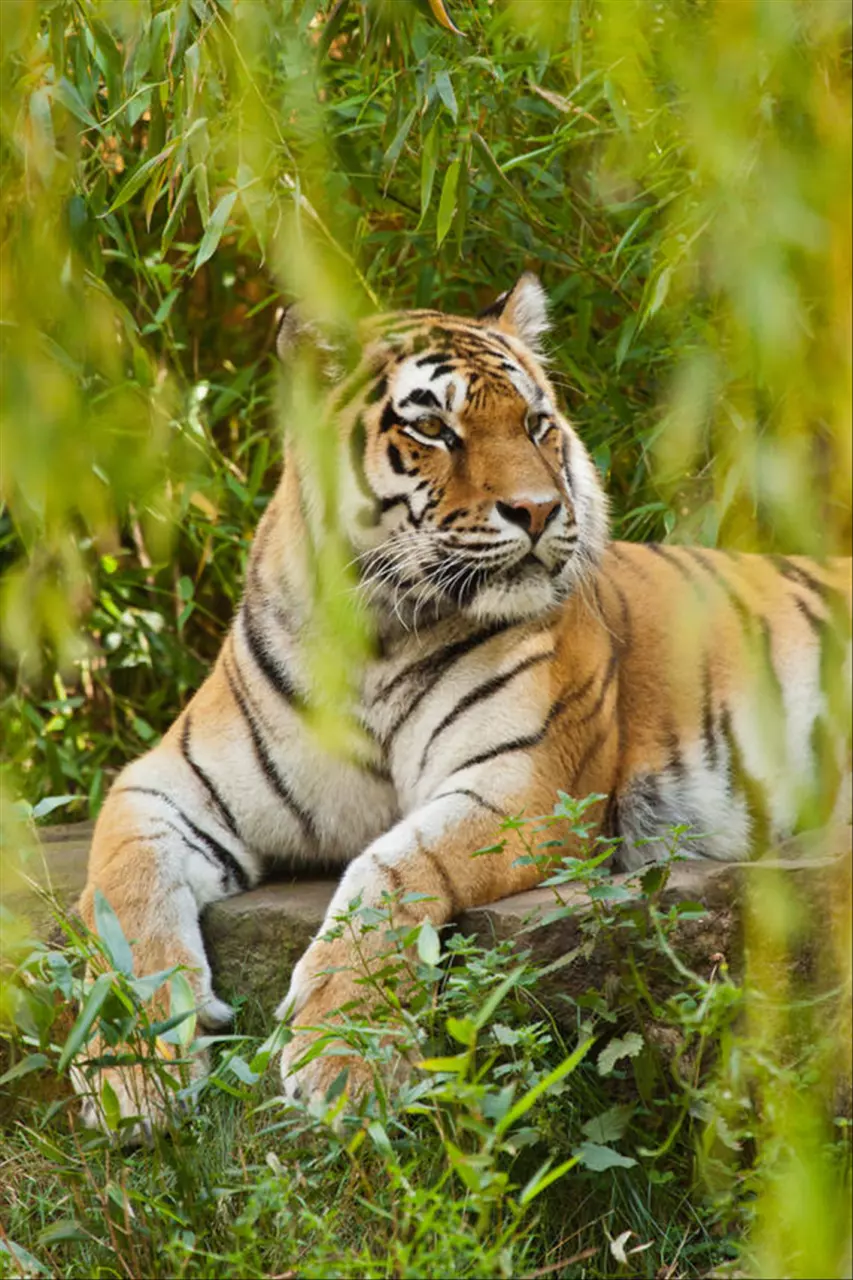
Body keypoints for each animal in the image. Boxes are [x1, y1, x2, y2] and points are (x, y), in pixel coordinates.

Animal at [74, 272, 850, 1131]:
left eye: (536, 424)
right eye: (433, 428)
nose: (538, 511)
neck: (374, 636)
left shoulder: (523, 787)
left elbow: (389, 870)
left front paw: (345, 1055)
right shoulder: (167, 783)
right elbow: (122, 898)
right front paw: (131, 1068)